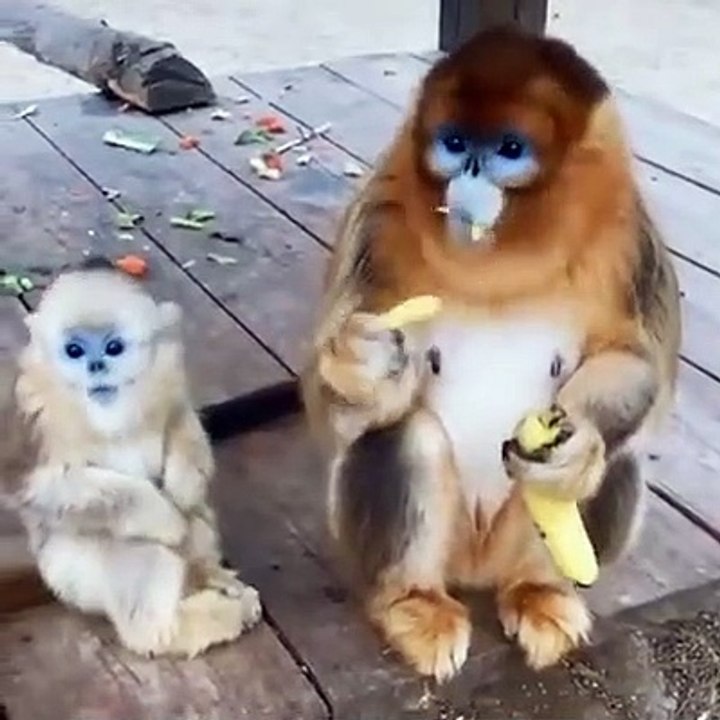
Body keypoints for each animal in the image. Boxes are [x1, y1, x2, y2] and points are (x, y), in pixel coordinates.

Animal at [0, 262, 263, 657]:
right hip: (75, 574)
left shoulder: (167, 382)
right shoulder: (33, 418)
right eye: (74, 350)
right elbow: (45, 488)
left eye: (113, 348)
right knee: (146, 564)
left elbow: (181, 423)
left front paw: (182, 487)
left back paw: (206, 573)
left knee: (197, 520)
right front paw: (163, 516)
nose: (96, 365)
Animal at [299, 27, 681, 682]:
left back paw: (542, 590)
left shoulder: (630, 238)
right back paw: (414, 602)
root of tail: (477, 567)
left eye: (509, 149)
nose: (470, 174)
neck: (506, 260)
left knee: (617, 456)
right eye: (454, 144)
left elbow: (632, 361)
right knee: (409, 434)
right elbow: (342, 416)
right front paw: (366, 367)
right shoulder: (376, 217)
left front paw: (577, 447)